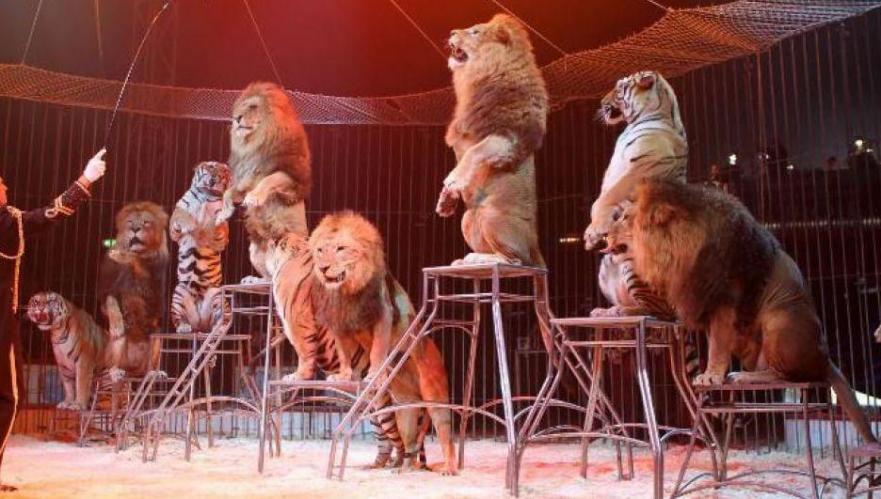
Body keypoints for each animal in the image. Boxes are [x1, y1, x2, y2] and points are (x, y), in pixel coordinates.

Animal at [97, 201, 167, 381]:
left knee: (149, 366)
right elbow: (110, 300)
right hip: (118, 348)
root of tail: (133, 370)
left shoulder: (154, 286)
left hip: (156, 336)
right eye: (130, 222)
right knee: (117, 351)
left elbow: (139, 261)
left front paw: (124, 255)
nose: (135, 229)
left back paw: (154, 373)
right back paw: (115, 371)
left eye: (146, 222)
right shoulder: (106, 288)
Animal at [216, 81, 311, 281]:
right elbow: (228, 193)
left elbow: (269, 179)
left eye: (253, 107)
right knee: (269, 277)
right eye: (240, 107)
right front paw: (224, 213)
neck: (256, 142)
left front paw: (254, 198)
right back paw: (251, 280)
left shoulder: (290, 177)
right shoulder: (246, 179)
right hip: (255, 249)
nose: (236, 118)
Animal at [309, 211, 457, 474]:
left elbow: (377, 350)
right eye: (320, 250)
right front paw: (343, 376)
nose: (323, 268)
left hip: (434, 396)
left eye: (340, 248)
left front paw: (373, 374)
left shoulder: (383, 313)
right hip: (405, 408)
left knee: (445, 435)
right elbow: (344, 354)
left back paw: (449, 467)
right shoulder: (340, 323)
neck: (347, 290)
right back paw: (403, 468)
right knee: (409, 444)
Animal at [435, 13, 548, 267]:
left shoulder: (508, 139)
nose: (452, 32)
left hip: (491, 216)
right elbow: (463, 159)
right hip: (468, 218)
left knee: (514, 260)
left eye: (475, 32)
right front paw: (446, 200)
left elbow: (475, 151)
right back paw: (468, 260)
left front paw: (453, 180)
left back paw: (476, 259)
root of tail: (536, 245)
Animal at [605, 179, 877, 443]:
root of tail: (825, 358)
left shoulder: (725, 300)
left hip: (780, 319)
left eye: (625, 218)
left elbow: (717, 345)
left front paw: (710, 377)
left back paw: (744, 377)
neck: (676, 248)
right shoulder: (704, 303)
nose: (604, 235)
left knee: (789, 377)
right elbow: (713, 343)